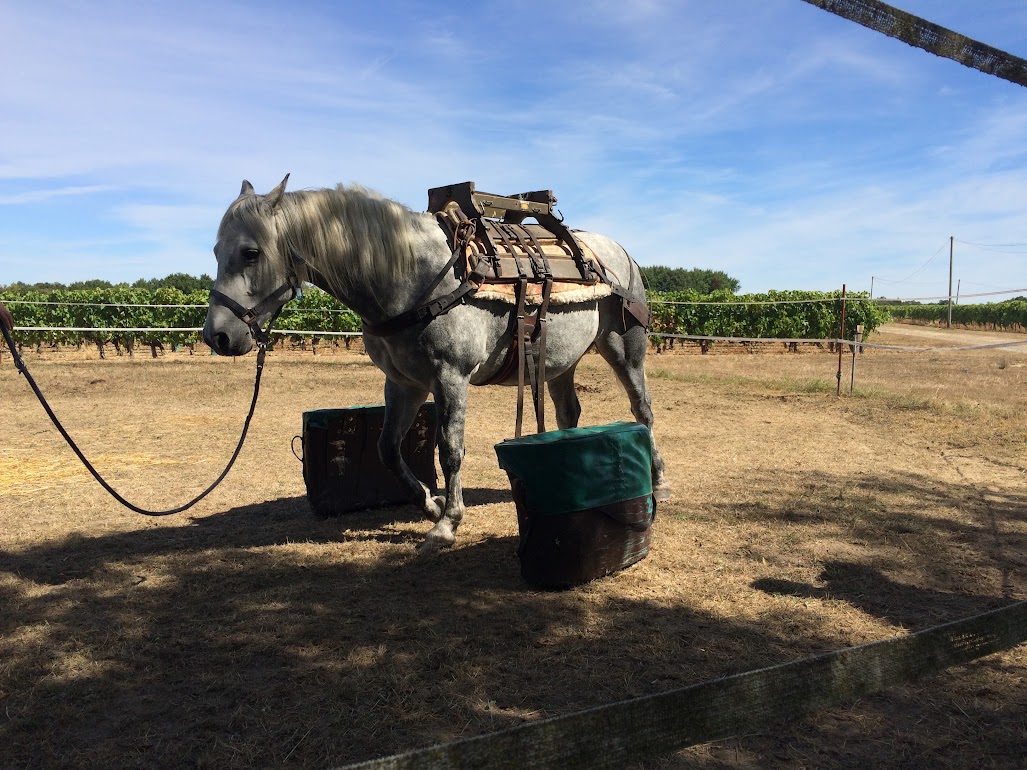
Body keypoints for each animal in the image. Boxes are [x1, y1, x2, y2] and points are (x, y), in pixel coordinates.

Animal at [203, 176, 669, 550]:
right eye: (216, 249)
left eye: (250, 252)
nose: (217, 336)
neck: (412, 276)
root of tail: (621, 253)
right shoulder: (404, 383)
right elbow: (387, 449)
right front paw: (431, 503)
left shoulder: (450, 377)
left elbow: (450, 450)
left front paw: (447, 524)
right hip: (560, 361)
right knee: (569, 412)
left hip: (625, 348)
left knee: (642, 410)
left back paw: (659, 481)